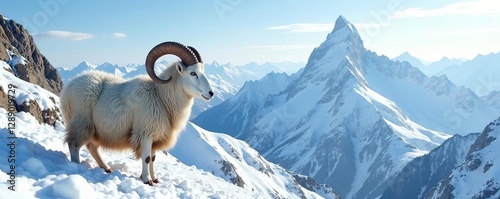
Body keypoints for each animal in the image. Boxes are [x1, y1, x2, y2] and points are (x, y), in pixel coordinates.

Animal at [59, 41, 214, 185]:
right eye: (192, 73)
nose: (211, 93)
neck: (160, 97)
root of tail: (68, 88)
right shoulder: (145, 134)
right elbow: (146, 158)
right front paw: (147, 180)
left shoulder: (155, 137)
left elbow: (153, 159)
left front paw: (155, 179)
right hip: (81, 123)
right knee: (74, 145)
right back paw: (77, 165)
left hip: (94, 130)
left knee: (92, 147)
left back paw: (106, 168)